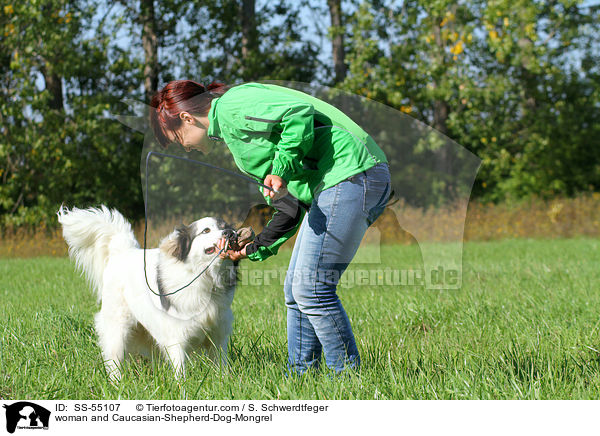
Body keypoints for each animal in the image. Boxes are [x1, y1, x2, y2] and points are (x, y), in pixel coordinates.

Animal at [55, 206, 244, 384]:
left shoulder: (218, 333)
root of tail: (122, 251)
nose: (230, 233)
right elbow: (180, 369)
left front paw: (224, 382)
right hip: (118, 327)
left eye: (226, 227)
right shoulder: (176, 336)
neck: (206, 279)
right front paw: (183, 387)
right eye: (206, 230)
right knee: (114, 360)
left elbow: (221, 364)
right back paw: (117, 384)